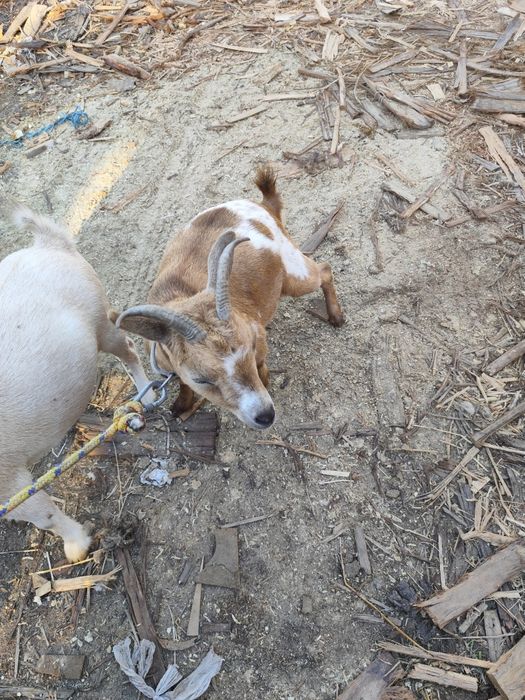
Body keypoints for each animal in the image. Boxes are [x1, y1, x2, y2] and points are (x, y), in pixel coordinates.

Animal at [0, 207, 153, 562]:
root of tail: (48, 244)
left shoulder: (9, 483)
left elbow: (43, 516)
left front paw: (77, 547)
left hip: (100, 319)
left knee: (128, 348)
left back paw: (148, 395)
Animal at [117, 165, 344, 429]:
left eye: (251, 346)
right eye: (202, 379)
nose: (265, 415)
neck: (182, 295)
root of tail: (264, 205)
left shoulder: (257, 333)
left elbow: (261, 364)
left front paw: (266, 380)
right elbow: (183, 383)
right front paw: (181, 406)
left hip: (294, 271)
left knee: (324, 270)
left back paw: (336, 316)